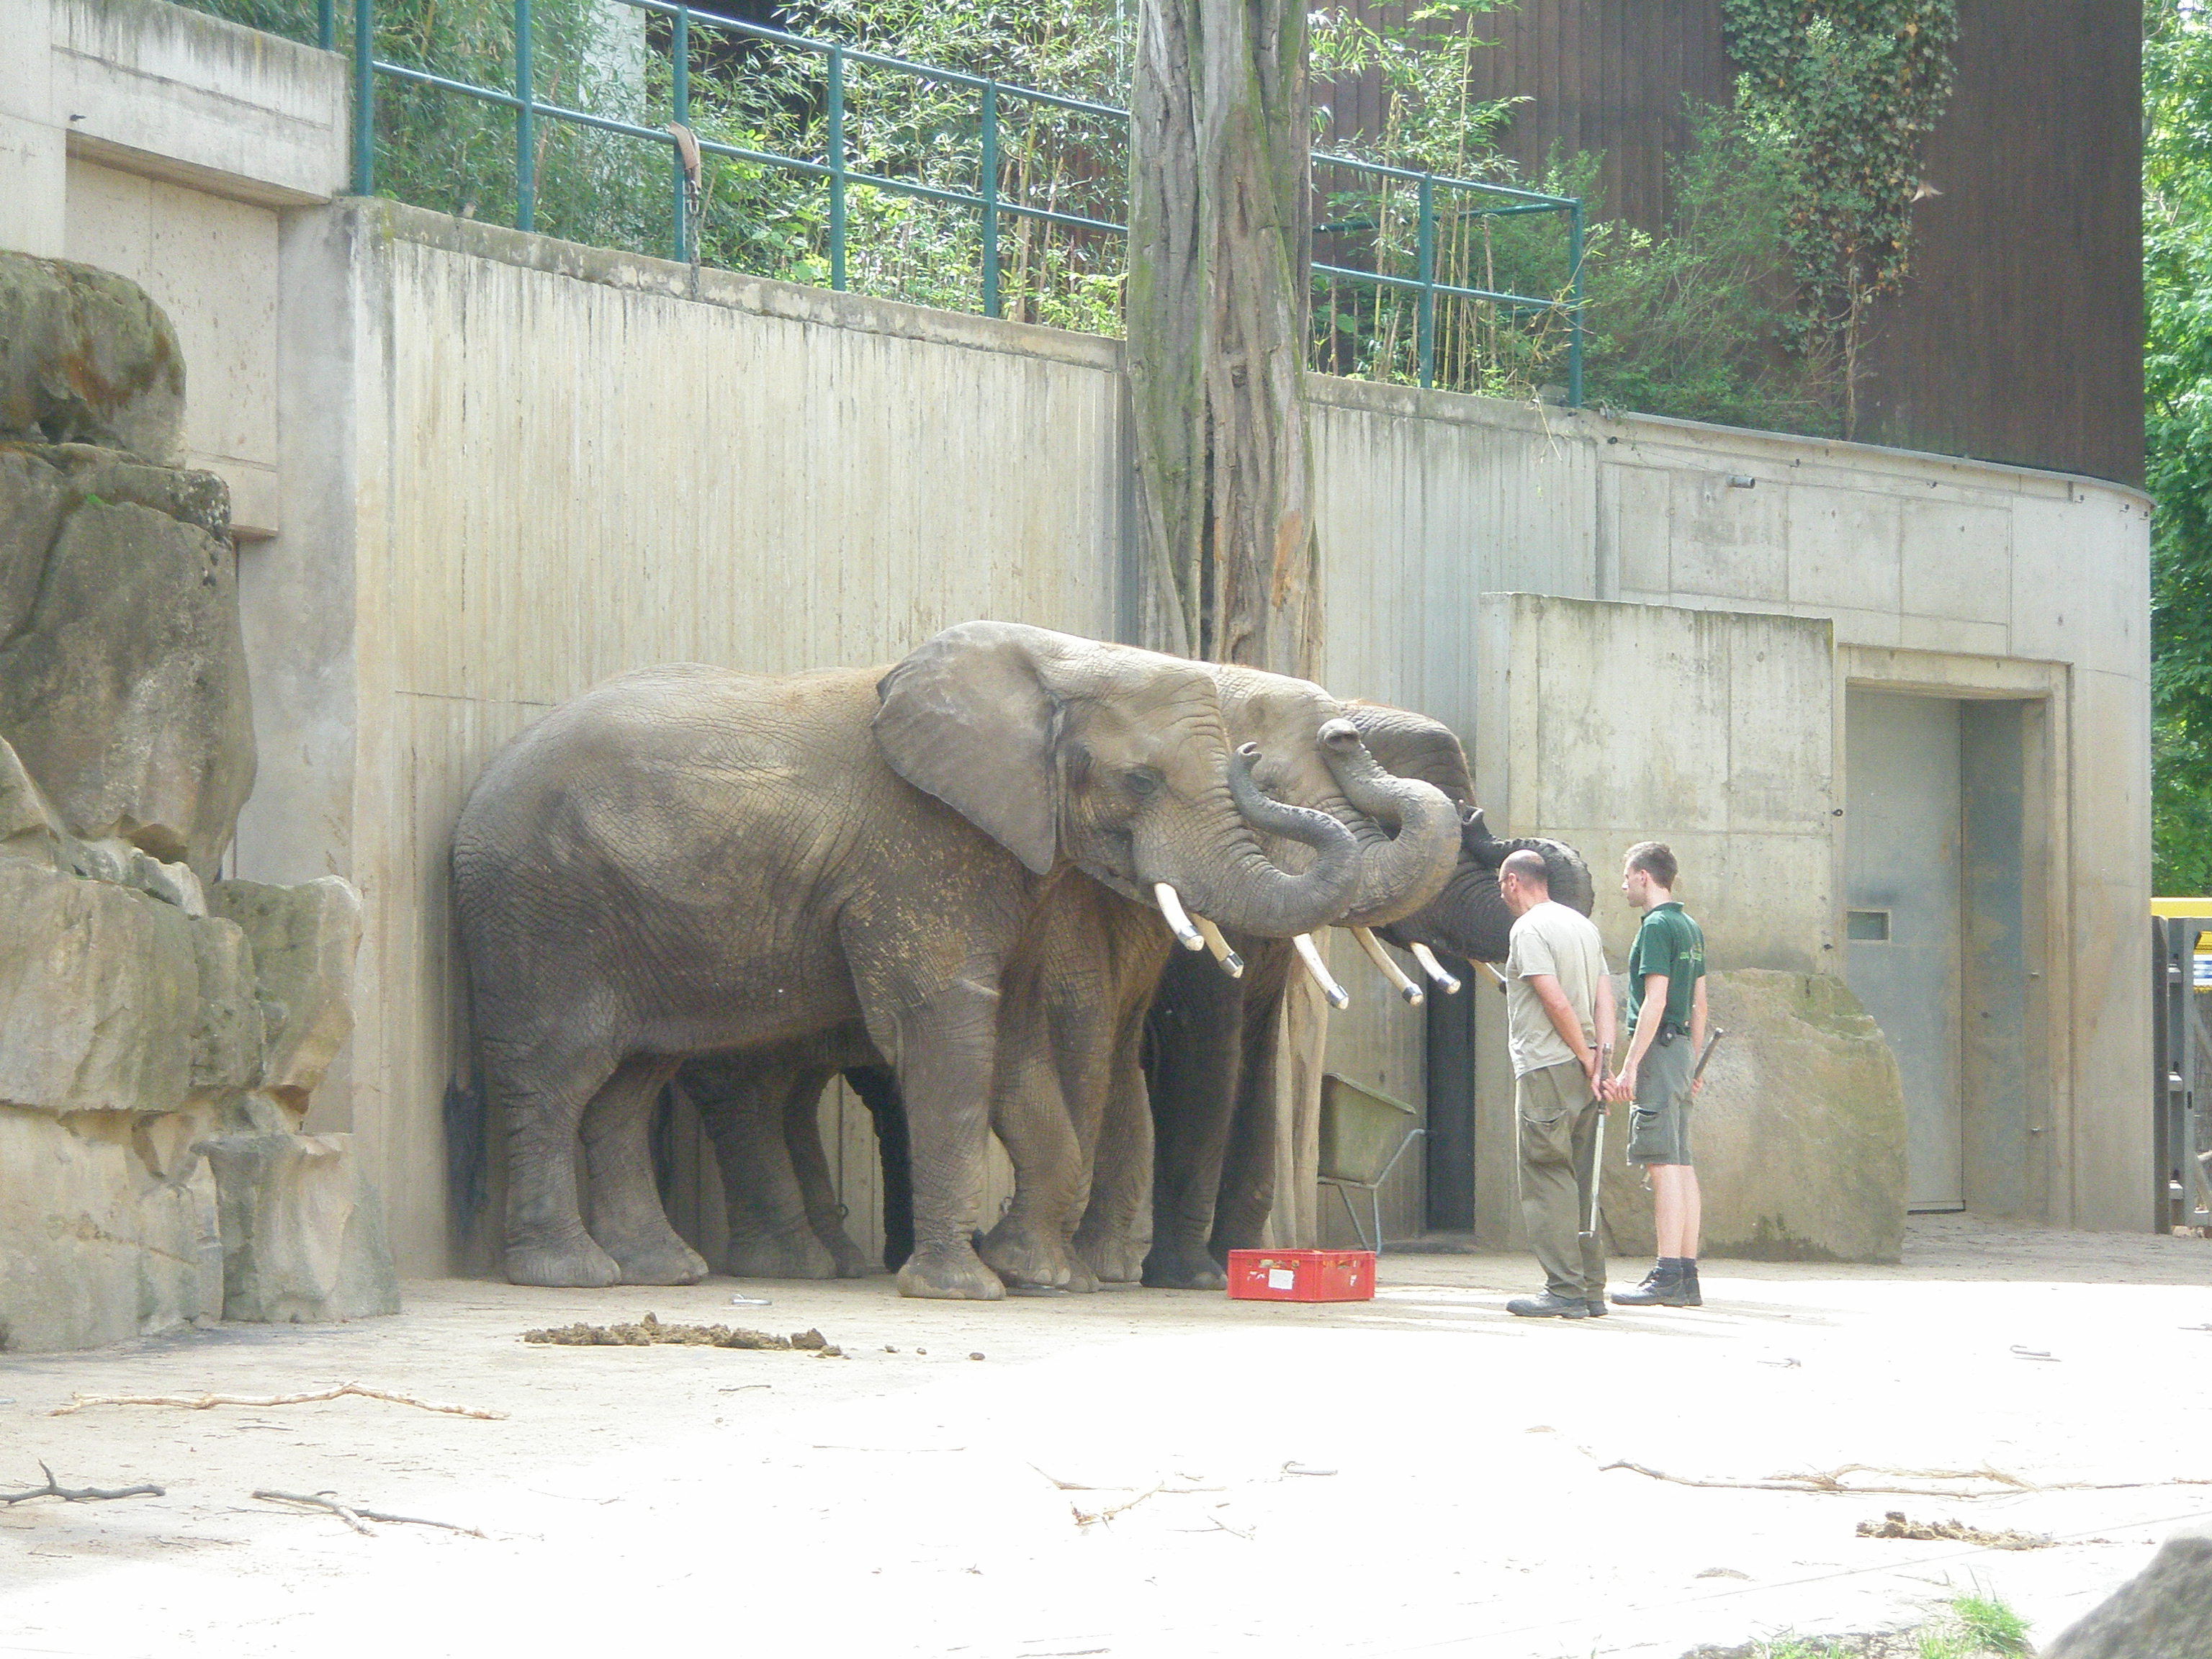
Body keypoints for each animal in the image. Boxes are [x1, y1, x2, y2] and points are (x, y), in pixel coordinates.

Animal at [449, 619, 1362, 1300]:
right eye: (1141, 780)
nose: (1335, 736)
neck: (1052, 661)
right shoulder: (920, 849)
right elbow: (950, 1031)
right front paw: (966, 1288)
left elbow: (1015, 1044)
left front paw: (1031, 1273)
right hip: (541, 912)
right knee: (561, 1074)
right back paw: (572, 1277)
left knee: (629, 1086)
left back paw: (659, 1271)